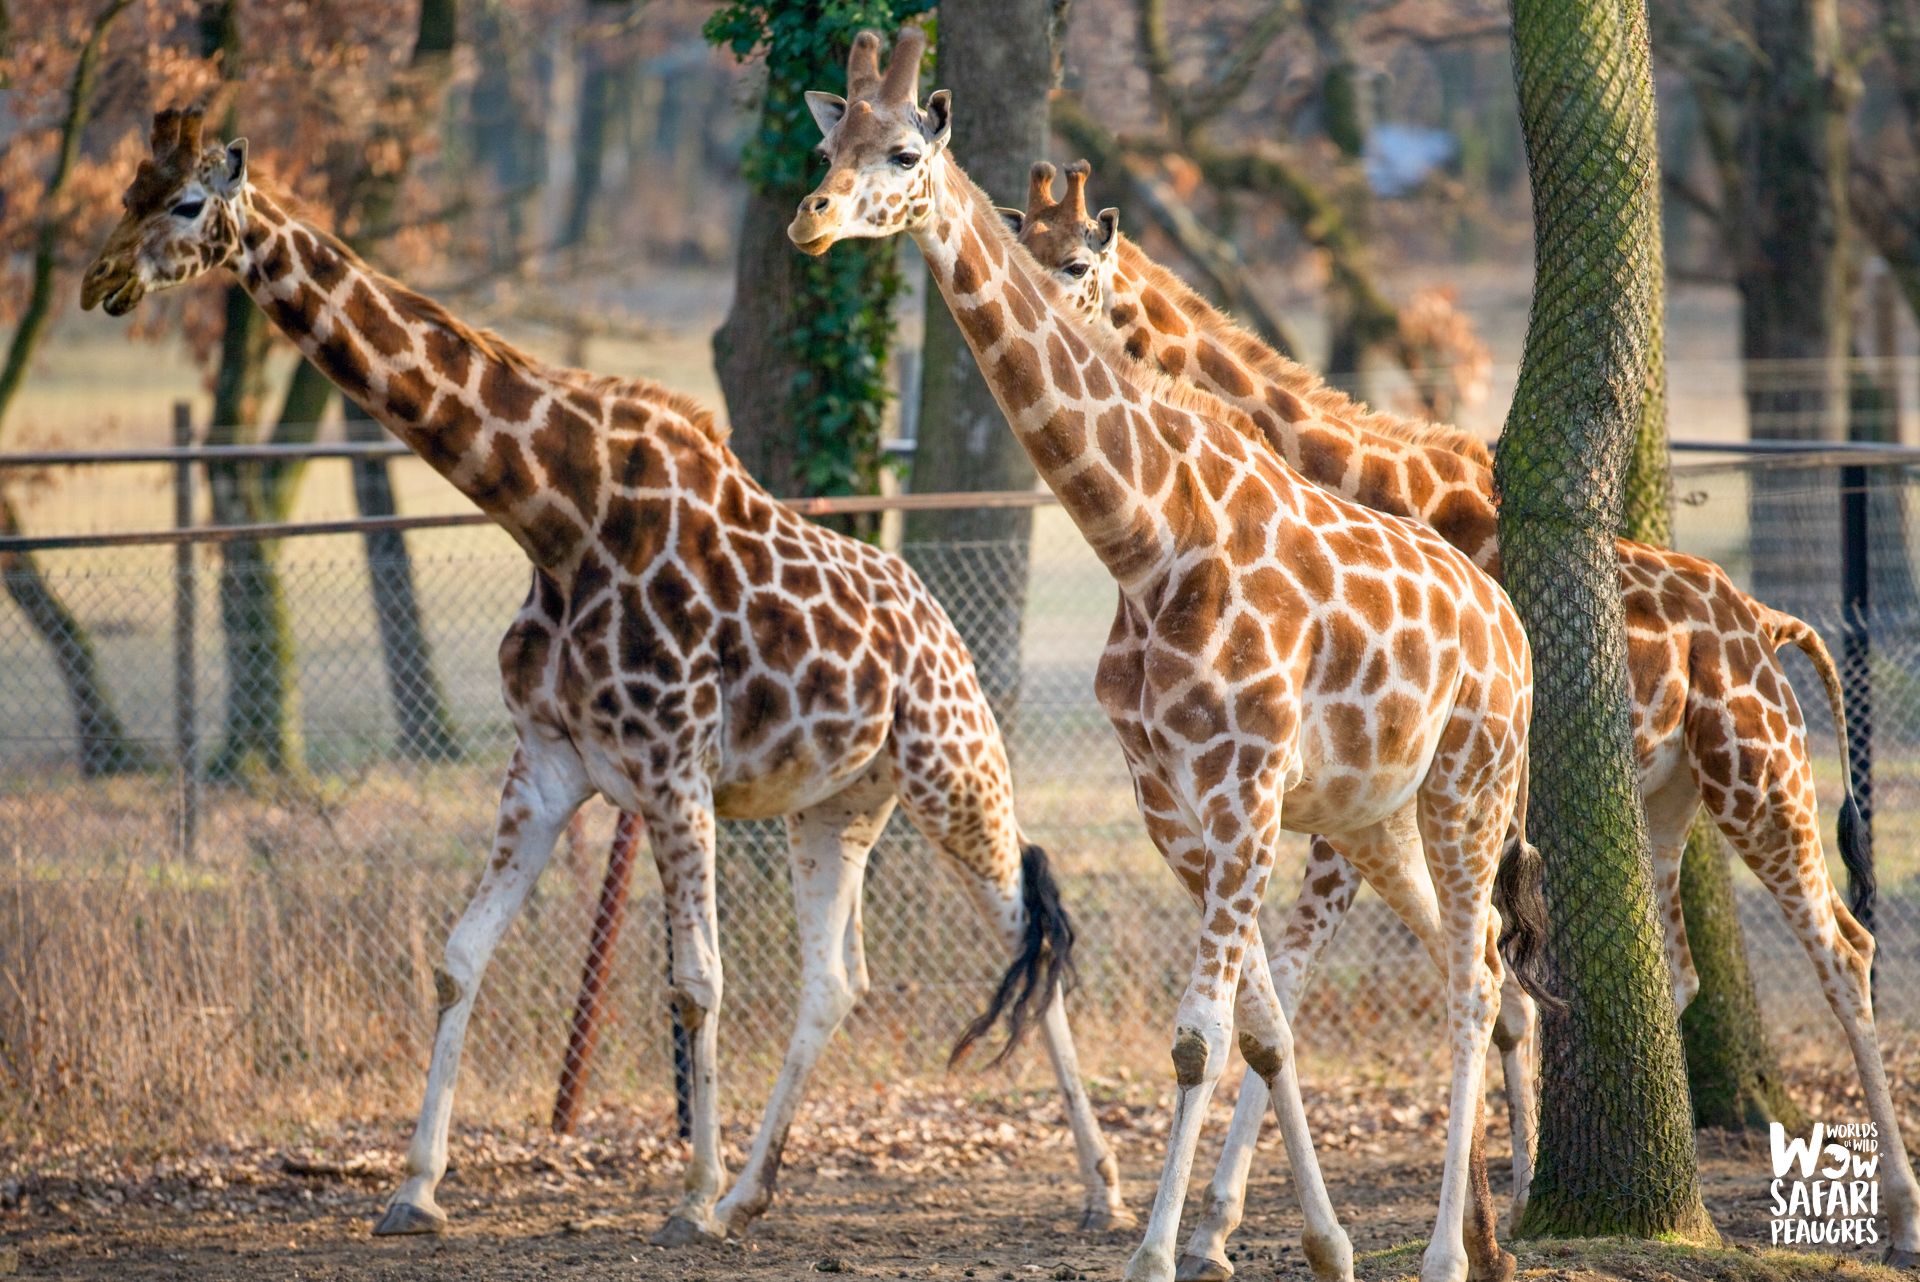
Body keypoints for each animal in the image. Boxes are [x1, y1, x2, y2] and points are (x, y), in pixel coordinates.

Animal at [86, 107, 1121, 1243]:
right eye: (130, 192)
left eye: (189, 203)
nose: (101, 281)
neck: (555, 516)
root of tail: (945, 628)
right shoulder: (547, 763)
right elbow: (458, 957)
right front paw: (415, 1190)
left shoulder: (674, 768)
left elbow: (695, 984)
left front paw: (688, 1202)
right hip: (840, 803)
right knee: (835, 979)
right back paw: (758, 1191)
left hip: (957, 776)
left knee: (1032, 940)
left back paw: (1102, 1192)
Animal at [794, 32, 1559, 1282]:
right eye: (826, 147)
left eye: (902, 150)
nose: (809, 220)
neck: (1148, 538)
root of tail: (1510, 624)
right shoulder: (1175, 805)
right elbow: (1258, 1029)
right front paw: (1309, 1241)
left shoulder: (1246, 792)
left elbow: (1201, 1037)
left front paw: (1160, 1251)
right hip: (1375, 815)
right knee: (1481, 958)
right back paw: (1478, 1238)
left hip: (1468, 782)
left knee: (1473, 976)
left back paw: (1451, 1251)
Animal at [1013, 157, 1912, 1274]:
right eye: (1022, 240)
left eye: (1078, 264)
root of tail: (1767, 621)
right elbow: (1420, 988)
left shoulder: (1369, 803)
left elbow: (1352, 982)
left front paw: (1245, 1225)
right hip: (1666, 800)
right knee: (1673, 967)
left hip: (1760, 774)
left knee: (1843, 946)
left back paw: (1899, 1213)